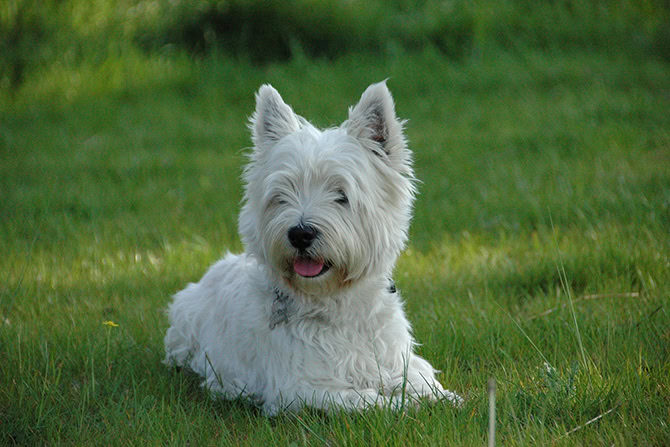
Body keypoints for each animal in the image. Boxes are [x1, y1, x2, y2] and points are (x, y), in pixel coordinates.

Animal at [166, 81, 464, 416]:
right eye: (281, 196)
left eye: (342, 195)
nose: (300, 233)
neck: (336, 306)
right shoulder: (300, 389)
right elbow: (364, 400)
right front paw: (402, 404)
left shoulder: (396, 359)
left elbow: (420, 378)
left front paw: (443, 397)